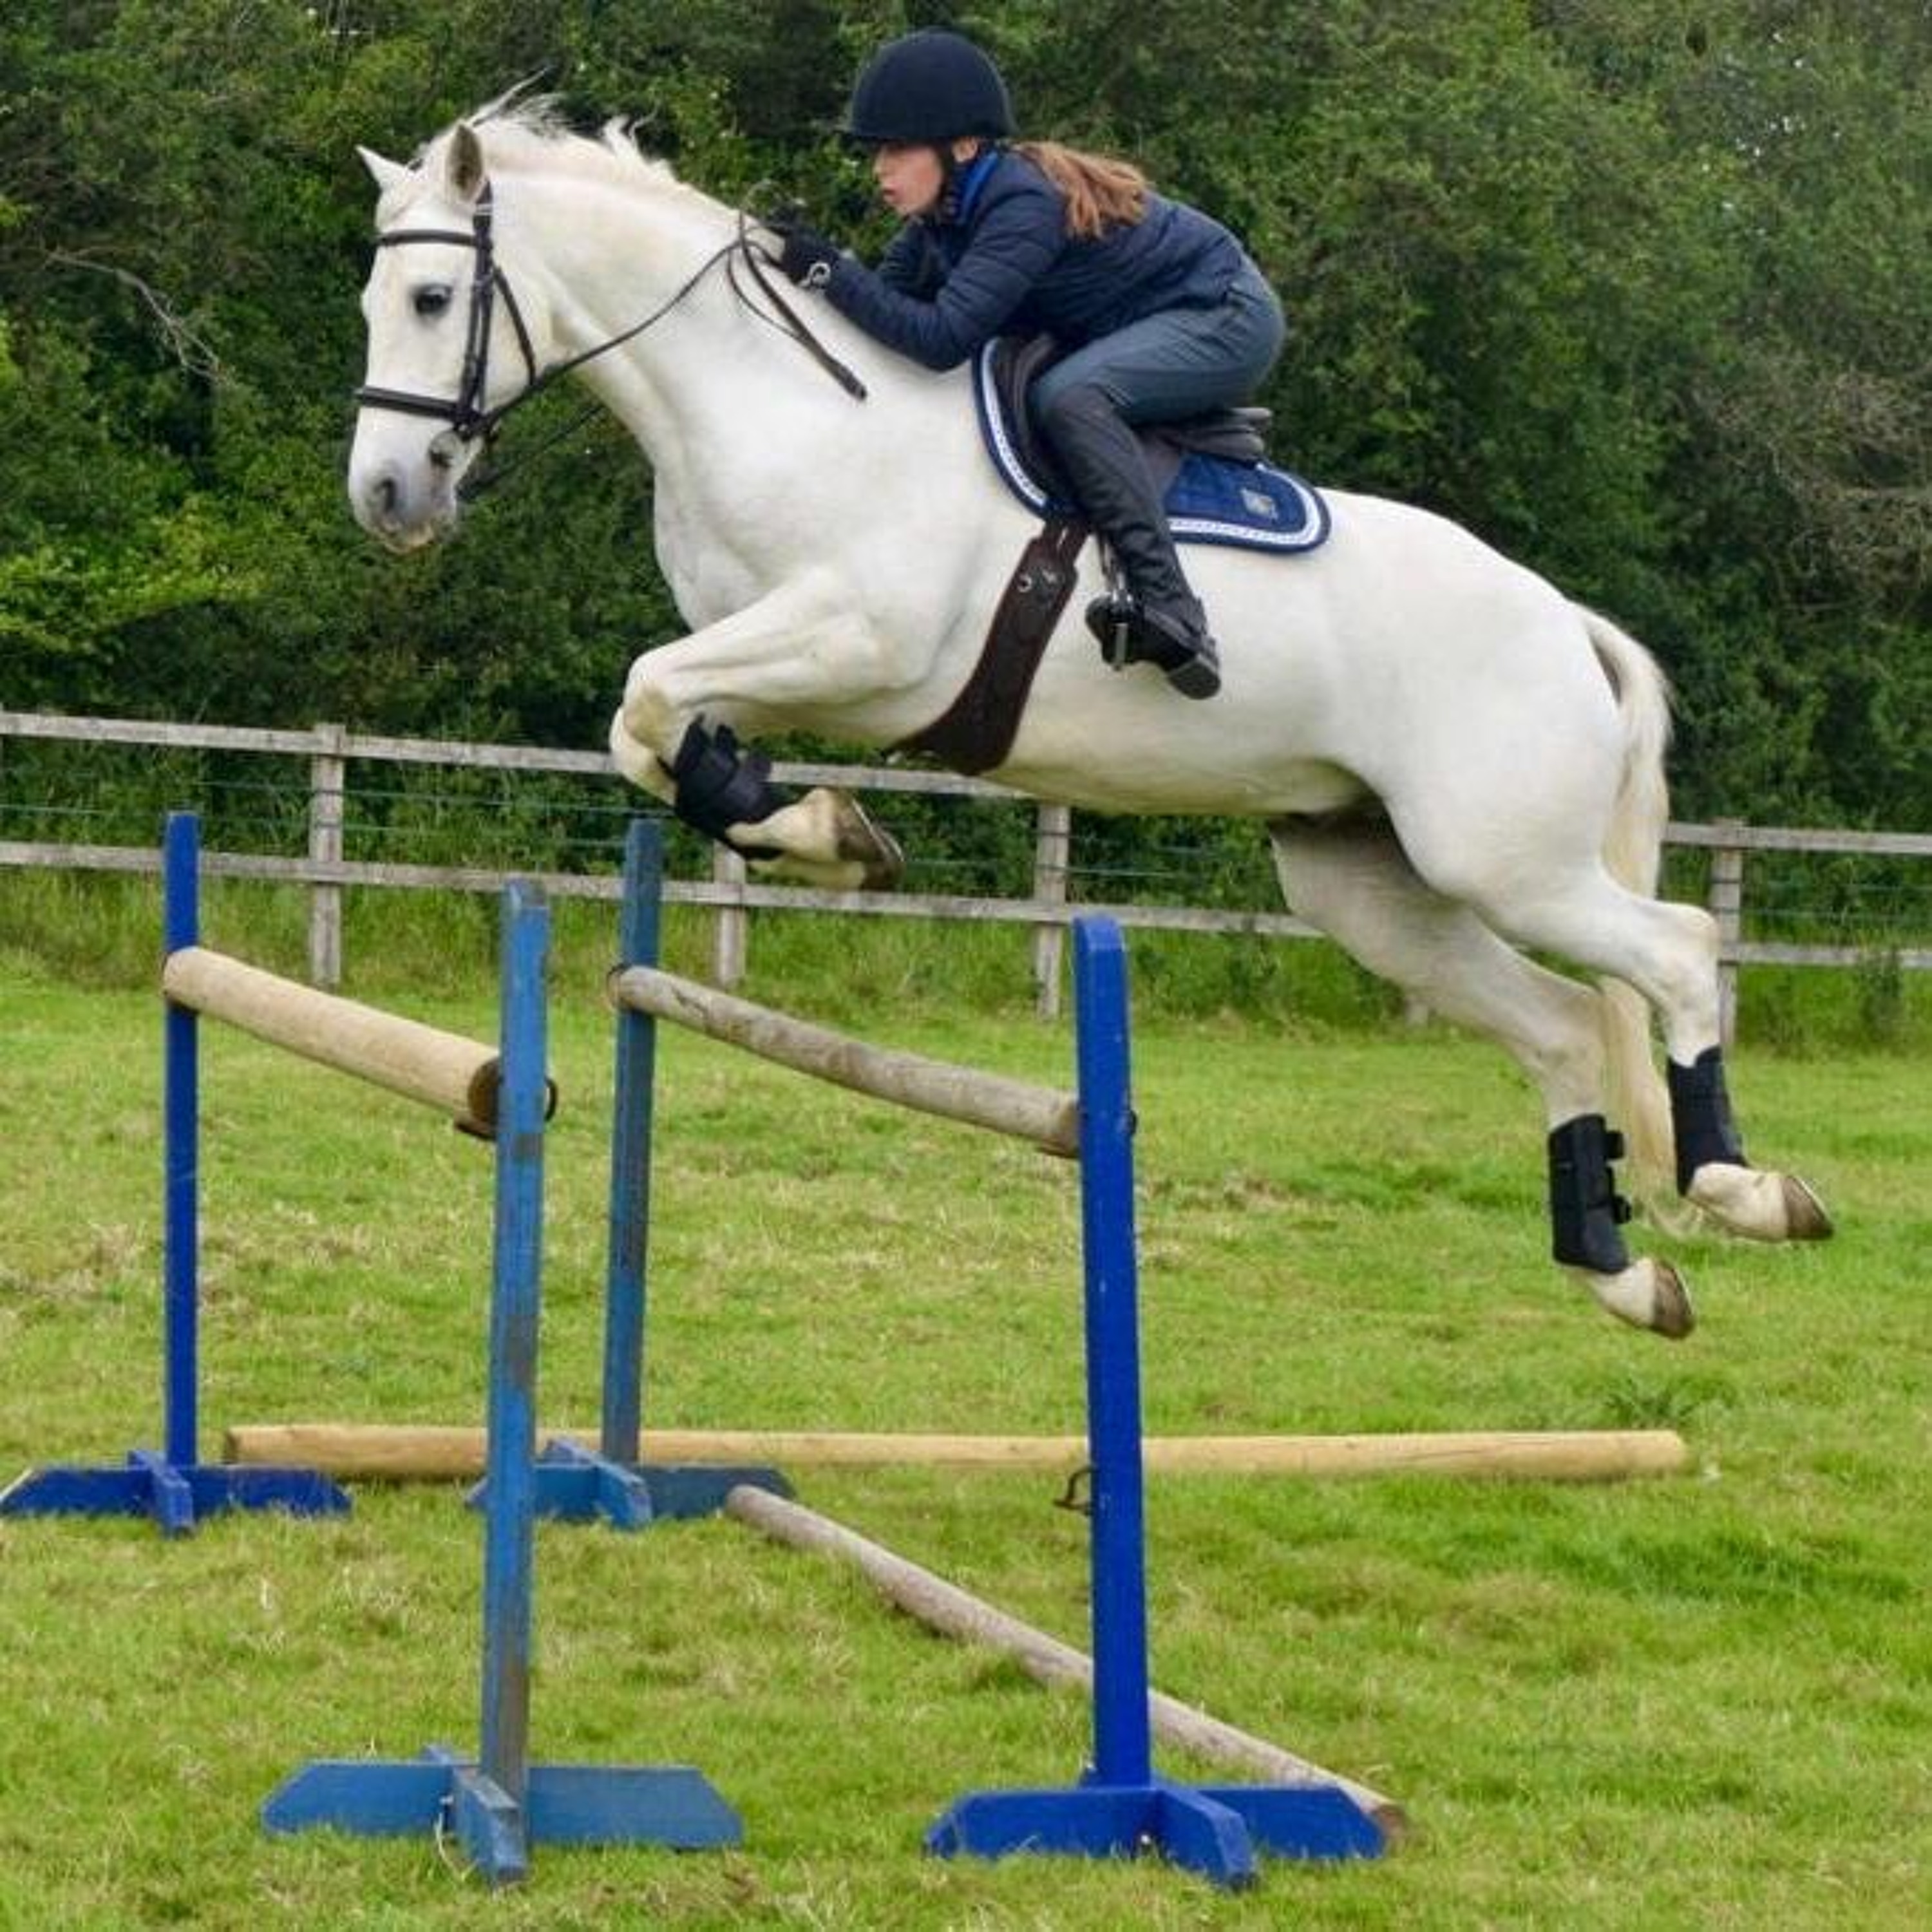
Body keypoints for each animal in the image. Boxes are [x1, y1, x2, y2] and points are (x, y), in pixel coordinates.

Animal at [347, 102, 1832, 1339]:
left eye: (431, 296)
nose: (385, 498)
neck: (776, 407)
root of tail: (1562, 620)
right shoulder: (762, 651)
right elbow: (657, 730)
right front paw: (822, 832)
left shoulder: (861, 642)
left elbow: (651, 697)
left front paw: (825, 832)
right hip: (1371, 878)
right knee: (1564, 1026)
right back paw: (1621, 1268)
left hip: (1503, 856)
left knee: (1677, 951)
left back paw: (1743, 1188)